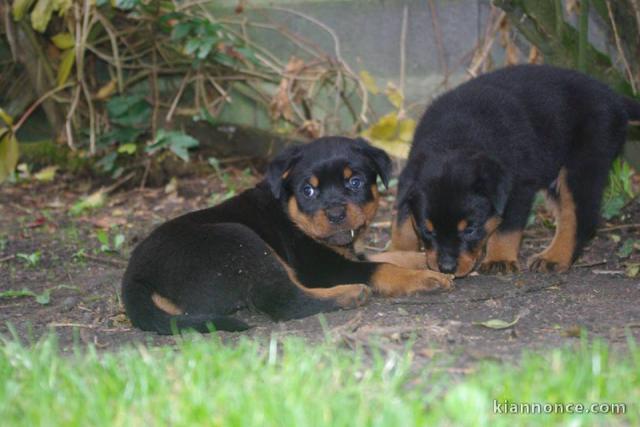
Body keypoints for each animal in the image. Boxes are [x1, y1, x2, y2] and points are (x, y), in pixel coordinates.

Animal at [122, 137, 452, 334]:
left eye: (355, 182)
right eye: (308, 190)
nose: (335, 213)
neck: (291, 213)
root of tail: (135, 277)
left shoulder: (348, 250)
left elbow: (387, 254)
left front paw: (427, 260)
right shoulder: (322, 267)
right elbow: (381, 267)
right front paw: (426, 278)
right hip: (241, 240)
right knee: (284, 300)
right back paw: (348, 293)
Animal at [390, 63, 640, 278]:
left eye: (470, 230)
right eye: (427, 230)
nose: (447, 268)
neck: (454, 140)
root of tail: (612, 97)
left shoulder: (519, 187)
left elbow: (506, 227)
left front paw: (499, 260)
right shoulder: (411, 181)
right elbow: (402, 223)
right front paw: (397, 254)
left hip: (583, 166)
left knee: (579, 217)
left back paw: (554, 257)